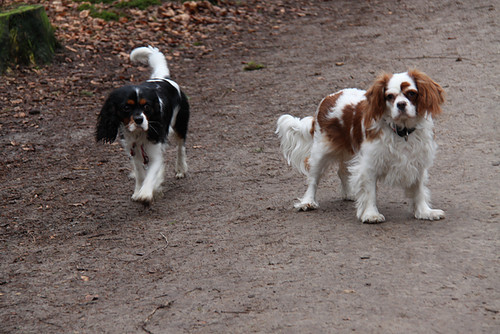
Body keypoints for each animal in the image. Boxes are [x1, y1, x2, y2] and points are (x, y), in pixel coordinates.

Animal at [96, 46, 189, 204]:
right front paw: (138, 190)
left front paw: (146, 193)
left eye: (147, 107)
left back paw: (181, 169)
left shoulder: (155, 152)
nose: (139, 119)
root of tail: (164, 78)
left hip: (180, 123)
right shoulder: (133, 151)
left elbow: (151, 174)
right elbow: (140, 173)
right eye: (126, 107)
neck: (138, 135)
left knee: (180, 146)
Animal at [278, 69, 446, 223]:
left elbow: (419, 190)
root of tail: (330, 97)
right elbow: (370, 191)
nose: (401, 104)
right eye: (389, 96)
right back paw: (308, 202)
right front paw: (371, 214)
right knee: (313, 178)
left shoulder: (418, 161)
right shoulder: (369, 163)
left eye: (411, 93)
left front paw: (425, 212)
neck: (402, 131)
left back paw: (349, 194)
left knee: (342, 171)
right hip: (321, 151)